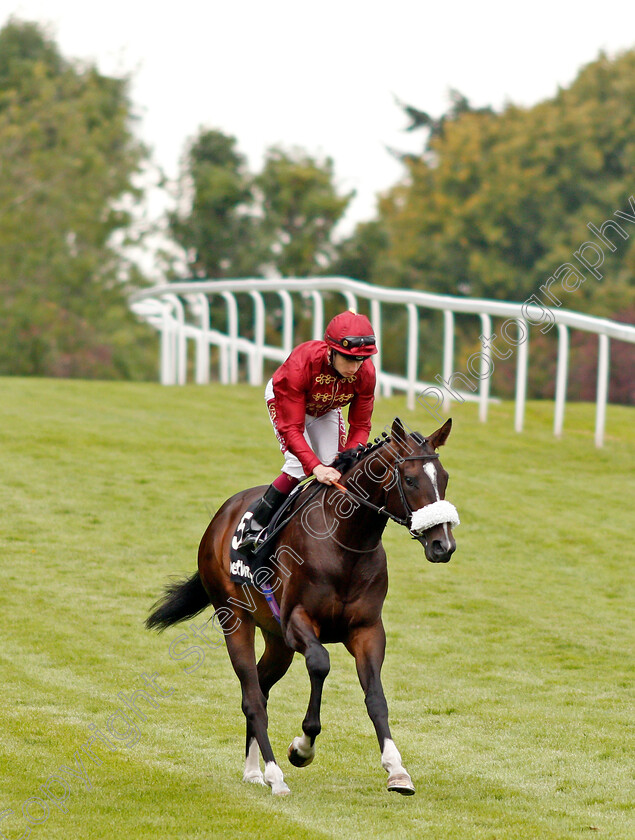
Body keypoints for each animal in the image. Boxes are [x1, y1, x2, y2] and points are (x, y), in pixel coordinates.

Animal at [147, 418, 460, 796]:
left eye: (444, 477)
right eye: (411, 480)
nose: (443, 544)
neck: (344, 543)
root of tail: (222, 516)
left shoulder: (368, 630)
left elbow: (376, 697)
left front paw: (396, 769)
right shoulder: (297, 622)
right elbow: (320, 664)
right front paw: (301, 748)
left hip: (276, 642)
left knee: (261, 687)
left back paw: (254, 770)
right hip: (234, 619)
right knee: (252, 696)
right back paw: (274, 774)